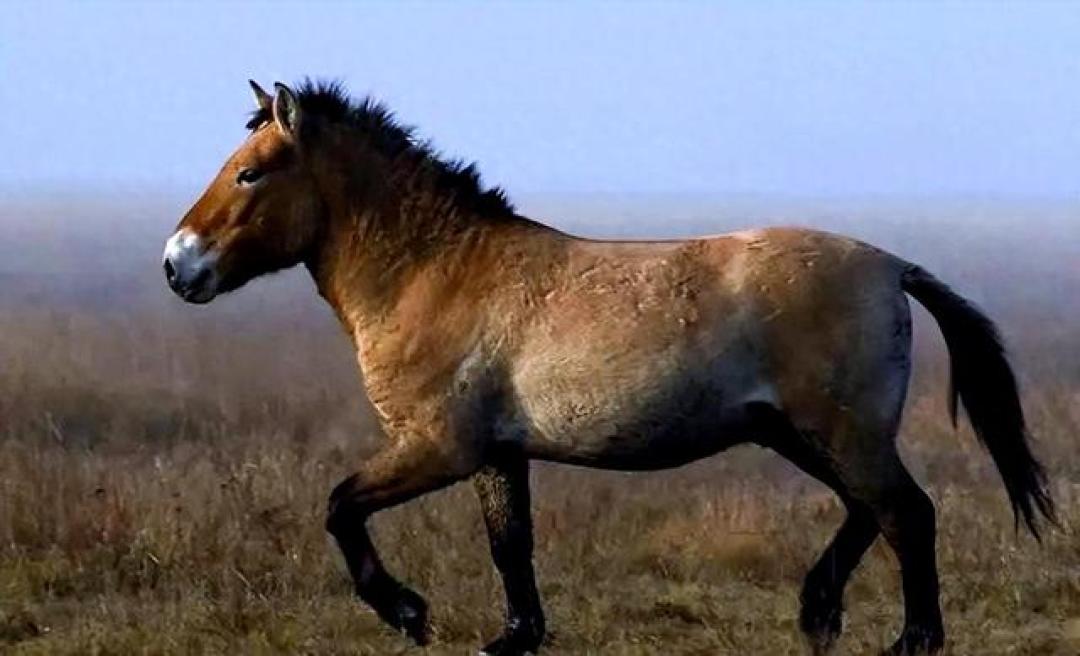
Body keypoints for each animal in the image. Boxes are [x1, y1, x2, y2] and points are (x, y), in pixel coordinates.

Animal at [163, 80, 1054, 656]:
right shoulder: (496, 455)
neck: (438, 272)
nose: (177, 265)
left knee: (906, 513)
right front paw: (514, 638)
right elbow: (510, 546)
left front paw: (409, 613)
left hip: (841, 433)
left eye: (249, 171)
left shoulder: (437, 449)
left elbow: (341, 507)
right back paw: (818, 613)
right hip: (802, 435)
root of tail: (893, 266)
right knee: (871, 512)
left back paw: (910, 639)